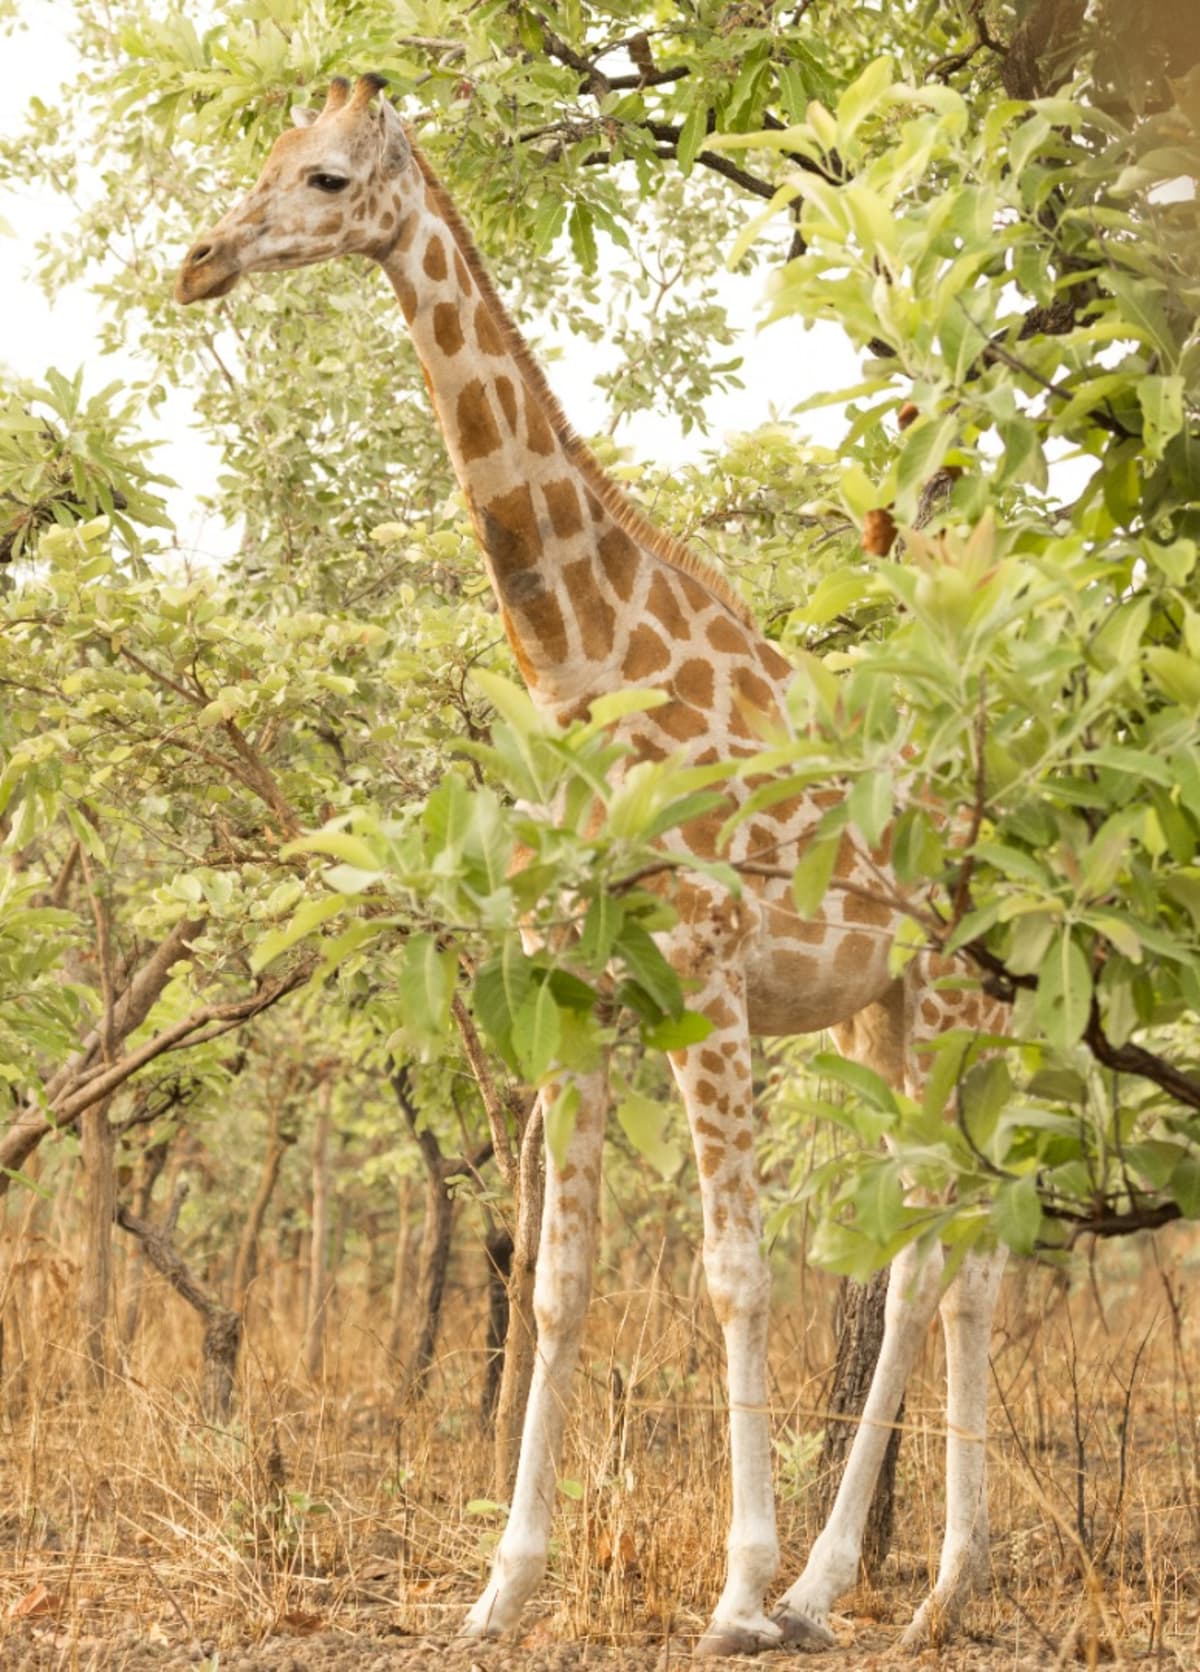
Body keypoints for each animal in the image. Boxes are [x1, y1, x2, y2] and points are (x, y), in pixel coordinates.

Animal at [176, 74, 1009, 1655]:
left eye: (325, 179)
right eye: (259, 157)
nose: (198, 261)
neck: (577, 669)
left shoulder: (706, 984)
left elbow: (735, 1275)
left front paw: (735, 1592)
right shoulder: (574, 1003)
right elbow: (558, 1284)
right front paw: (500, 1589)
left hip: (956, 1001)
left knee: (937, 1253)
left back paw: (865, 1587)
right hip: (881, 1013)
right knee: (954, 1246)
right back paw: (900, 1590)